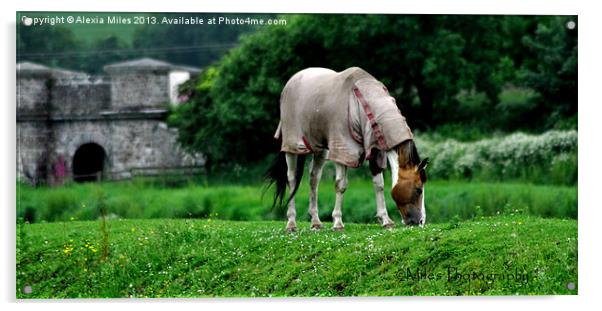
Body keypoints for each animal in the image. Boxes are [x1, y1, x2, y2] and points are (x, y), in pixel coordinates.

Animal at [266, 67, 426, 232]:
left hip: (320, 149)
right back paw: (291, 223)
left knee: (314, 179)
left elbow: (379, 184)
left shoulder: (376, 152)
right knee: (291, 179)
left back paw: (316, 222)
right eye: (419, 189)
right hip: (292, 145)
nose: (420, 221)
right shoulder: (343, 150)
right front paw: (337, 222)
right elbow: (341, 185)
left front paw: (386, 220)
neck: (359, 103)